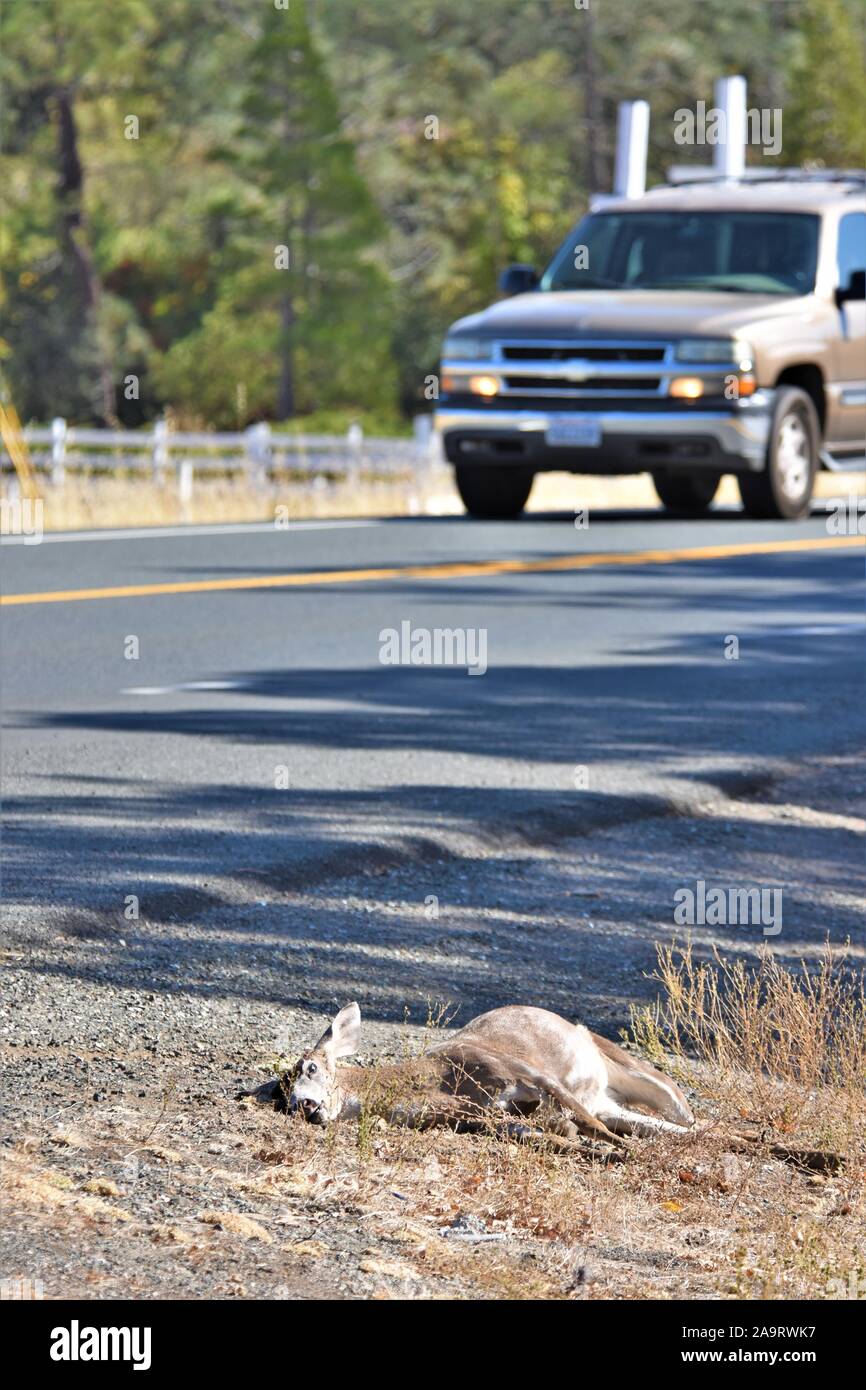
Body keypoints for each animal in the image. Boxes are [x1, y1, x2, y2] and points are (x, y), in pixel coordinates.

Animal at [251, 1001, 696, 1154]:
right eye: (283, 1100)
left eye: (311, 1067)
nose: (306, 1106)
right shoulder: (472, 1117)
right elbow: (541, 1135)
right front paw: (602, 1151)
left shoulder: (520, 1070)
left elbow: (585, 1123)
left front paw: (624, 1151)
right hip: (608, 1100)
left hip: (634, 1072)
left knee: (686, 1114)